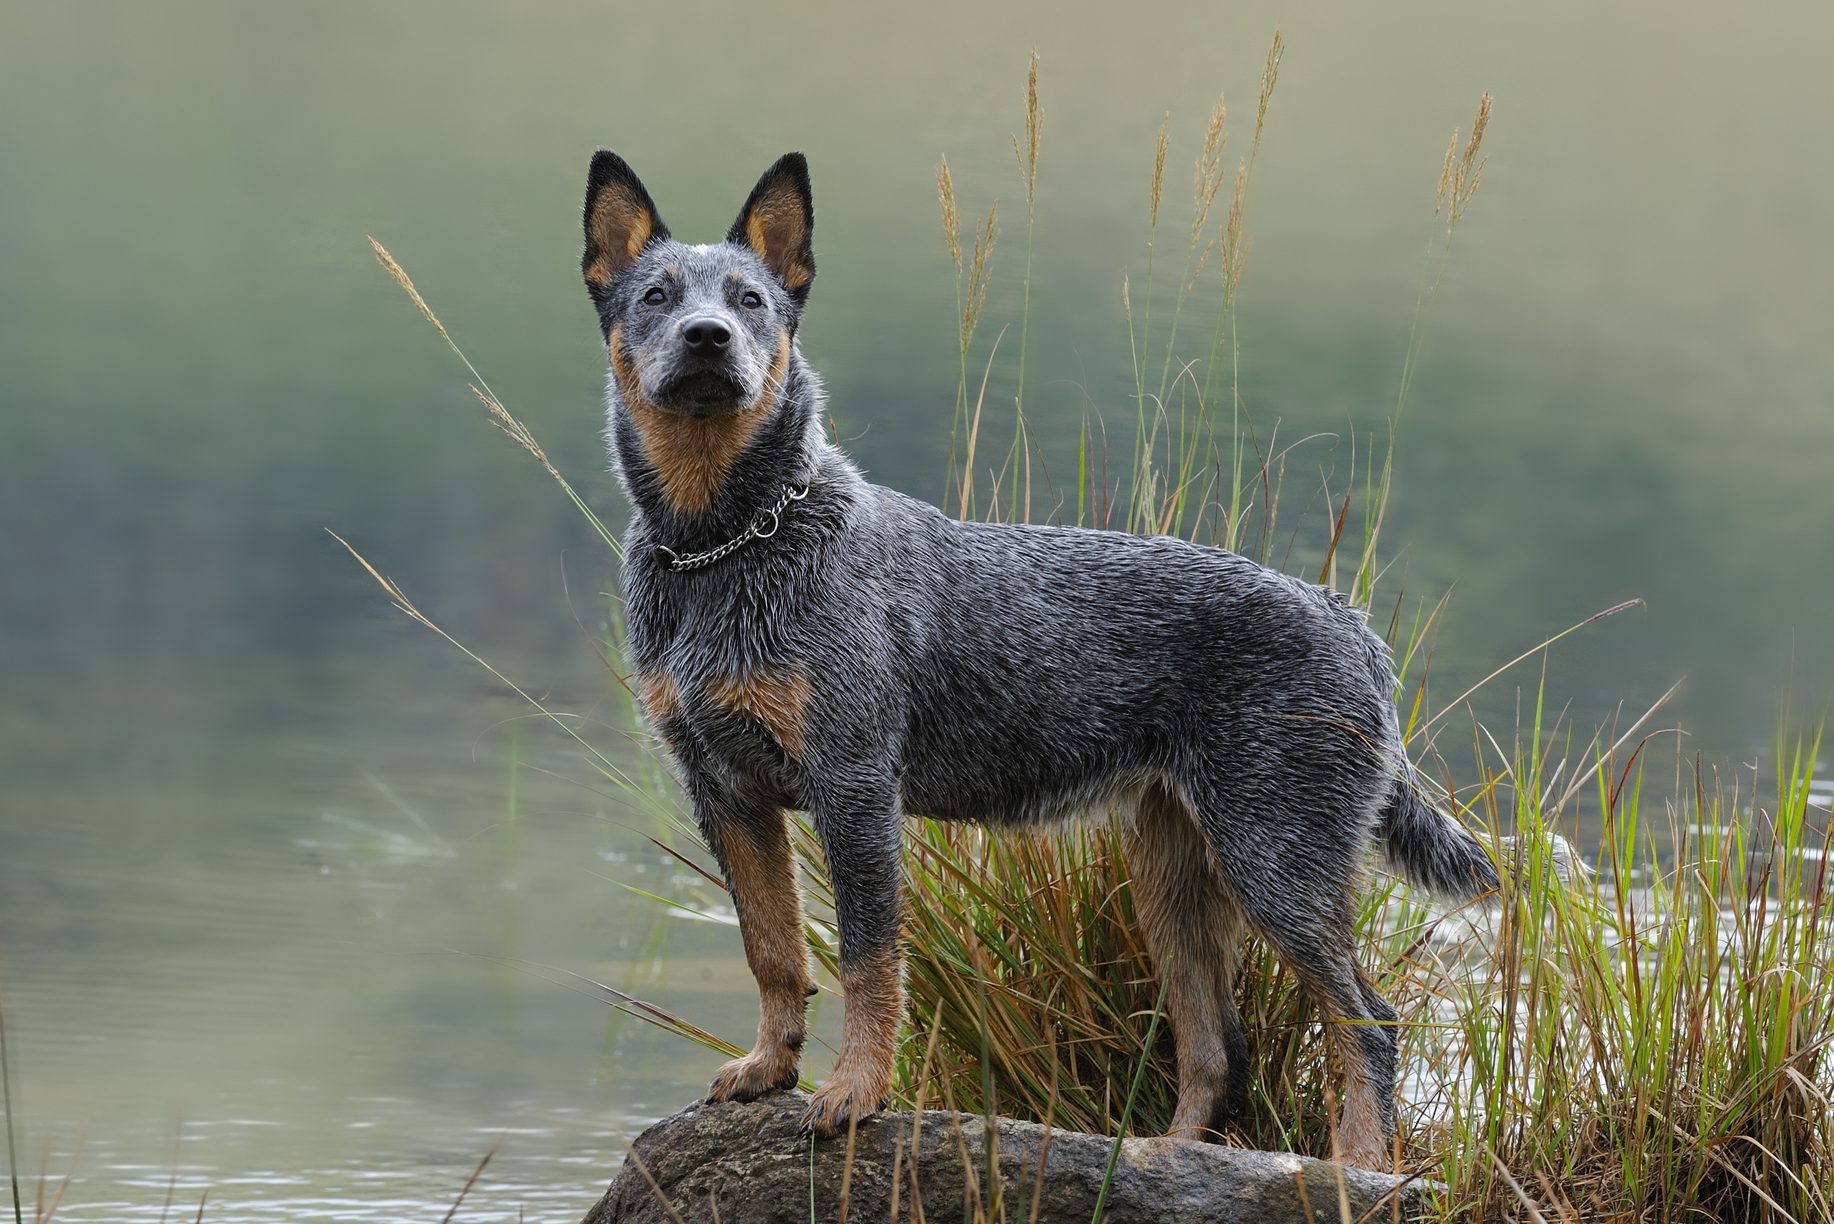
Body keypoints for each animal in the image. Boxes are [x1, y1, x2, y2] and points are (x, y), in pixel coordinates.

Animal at [579, 148, 1496, 1167]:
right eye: (657, 295)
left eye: (750, 300)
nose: (706, 337)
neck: (724, 549)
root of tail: (1352, 624)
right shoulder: (725, 790)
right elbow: (772, 949)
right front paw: (770, 1069)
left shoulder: (852, 786)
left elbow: (866, 958)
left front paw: (854, 1091)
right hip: (1174, 874)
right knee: (1218, 1045)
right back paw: (1163, 1158)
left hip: (1276, 858)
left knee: (1365, 1019)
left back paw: (1360, 1169)